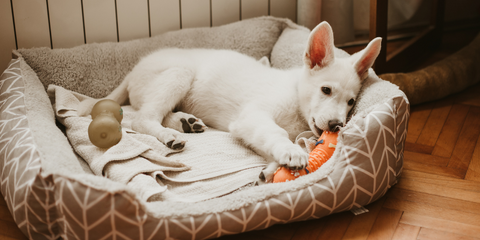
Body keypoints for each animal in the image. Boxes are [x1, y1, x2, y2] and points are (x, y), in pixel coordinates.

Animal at [79, 21, 382, 182]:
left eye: (351, 102)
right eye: (326, 90)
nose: (336, 126)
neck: (296, 97)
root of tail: (133, 71)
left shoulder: (251, 127)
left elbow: (266, 143)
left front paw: (271, 169)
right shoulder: (252, 117)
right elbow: (277, 133)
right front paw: (291, 152)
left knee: (157, 113)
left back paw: (186, 123)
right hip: (179, 73)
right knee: (142, 117)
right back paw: (169, 135)